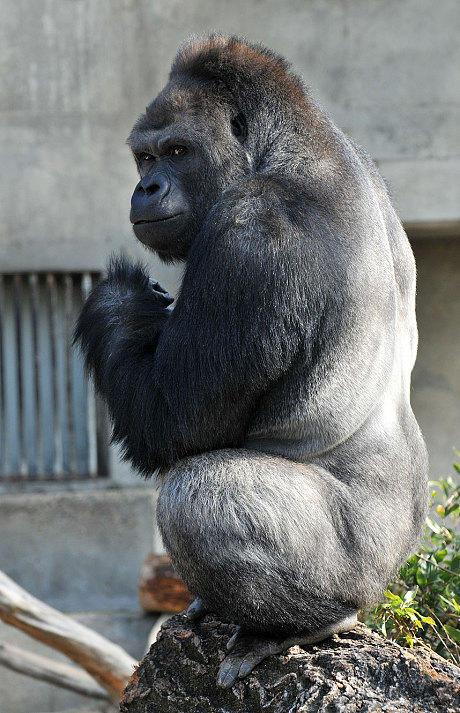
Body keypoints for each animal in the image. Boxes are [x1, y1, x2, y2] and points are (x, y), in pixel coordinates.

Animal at [74, 35, 428, 688]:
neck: (289, 148)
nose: (146, 189)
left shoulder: (249, 231)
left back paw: (300, 625)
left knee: (197, 496)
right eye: (144, 159)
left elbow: (172, 422)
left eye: (178, 151)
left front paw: (116, 299)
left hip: (362, 572)